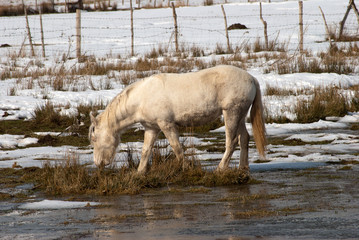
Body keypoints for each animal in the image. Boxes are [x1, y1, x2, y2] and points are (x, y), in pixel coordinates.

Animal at [88, 65, 266, 172]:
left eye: (95, 139)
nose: (98, 163)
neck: (142, 98)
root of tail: (251, 78)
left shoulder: (166, 125)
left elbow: (177, 148)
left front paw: (187, 168)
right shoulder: (151, 128)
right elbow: (146, 151)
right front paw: (139, 173)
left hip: (231, 113)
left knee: (232, 141)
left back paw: (220, 169)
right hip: (239, 115)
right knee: (244, 138)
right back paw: (243, 168)